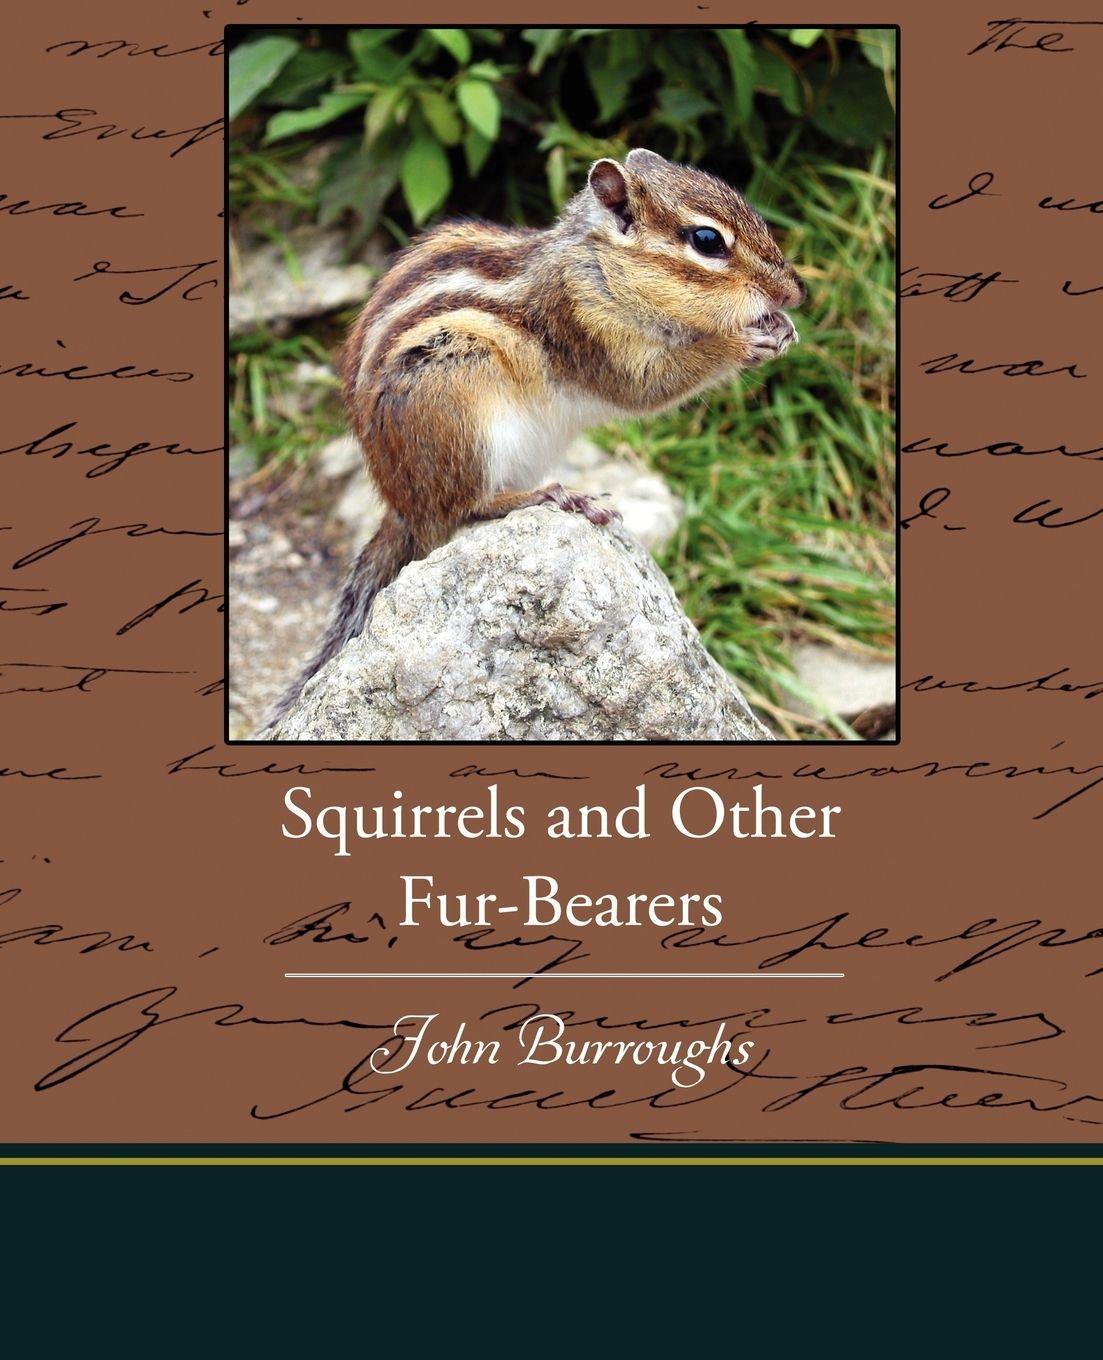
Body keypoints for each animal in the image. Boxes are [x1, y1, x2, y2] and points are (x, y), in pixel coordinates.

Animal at [264, 148, 804, 730]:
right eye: (707, 241)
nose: (795, 291)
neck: (600, 269)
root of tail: (402, 505)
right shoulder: (585, 327)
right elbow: (649, 385)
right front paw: (743, 341)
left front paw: (782, 326)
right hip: (459, 403)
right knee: (464, 509)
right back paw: (552, 496)